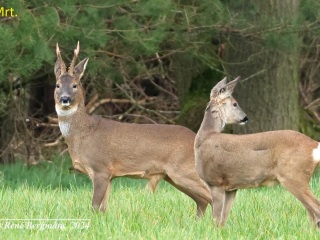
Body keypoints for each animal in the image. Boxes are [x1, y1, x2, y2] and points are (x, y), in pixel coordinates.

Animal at [53, 42, 211, 217]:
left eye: (75, 85)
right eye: (57, 85)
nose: (65, 99)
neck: (82, 134)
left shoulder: (101, 167)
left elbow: (94, 206)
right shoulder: (110, 175)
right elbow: (103, 209)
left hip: (184, 169)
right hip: (172, 176)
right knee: (202, 200)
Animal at [194, 76, 320, 227]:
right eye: (235, 104)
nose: (245, 118)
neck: (205, 137)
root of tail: (315, 145)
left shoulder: (215, 181)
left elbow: (216, 219)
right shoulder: (231, 187)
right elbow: (223, 219)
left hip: (293, 175)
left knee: (315, 207)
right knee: (312, 213)